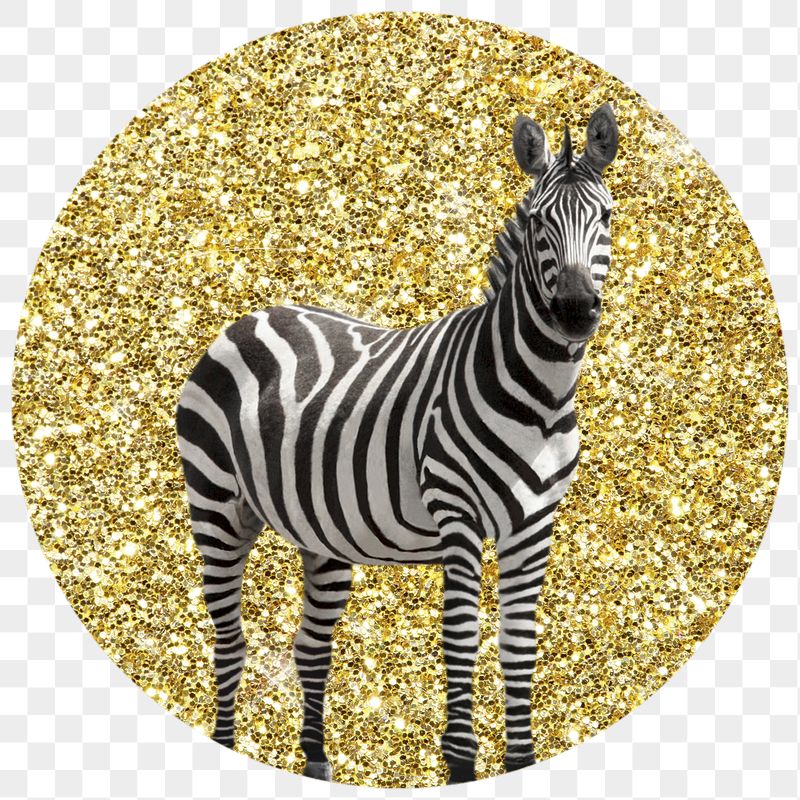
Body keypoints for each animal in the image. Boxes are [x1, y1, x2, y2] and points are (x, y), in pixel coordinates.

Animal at [175, 102, 618, 783]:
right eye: (538, 222)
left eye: (606, 218)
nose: (573, 310)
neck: (539, 397)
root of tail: (251, 318)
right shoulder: (459, 518)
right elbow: (461, 638)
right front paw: (461, 763)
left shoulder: (536, 525)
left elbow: (519, 644)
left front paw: (520, 759)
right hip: (218, 506)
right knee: (229, 643)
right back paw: (226, 743)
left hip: (323, 532)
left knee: (310, 648)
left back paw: (316, 763)